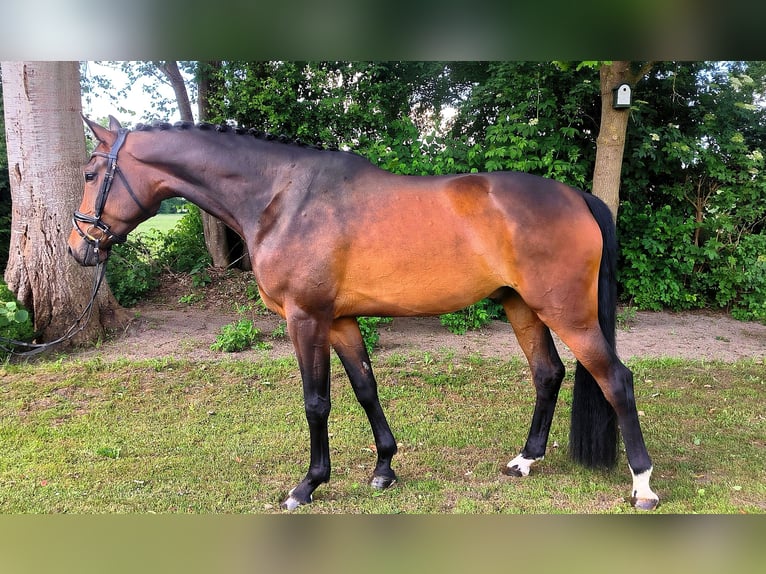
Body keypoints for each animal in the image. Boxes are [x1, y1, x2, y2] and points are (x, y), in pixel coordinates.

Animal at [68, 115, 659, 511]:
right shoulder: (339, 320)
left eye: (92, 173)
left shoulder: (305, 318)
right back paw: (526, 459)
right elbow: (364, 388)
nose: (79, 249)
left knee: (616, 380)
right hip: (522, 306)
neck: (282, 198)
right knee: (548, 373)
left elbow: (317, 402)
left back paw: (643, 487)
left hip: (567, 312)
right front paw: (383, 468)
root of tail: (577, 196)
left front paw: (308, 484)